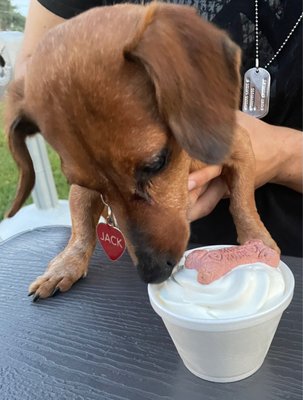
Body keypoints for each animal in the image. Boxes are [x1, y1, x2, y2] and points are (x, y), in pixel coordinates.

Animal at [4, 2, 280, 296]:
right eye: (91, 185)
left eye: (156, 163)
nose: (153, 273)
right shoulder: (81, 191)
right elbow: (81, 228)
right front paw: (65, 265)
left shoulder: (242, 150)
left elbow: (243, 203)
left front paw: (258, 242)